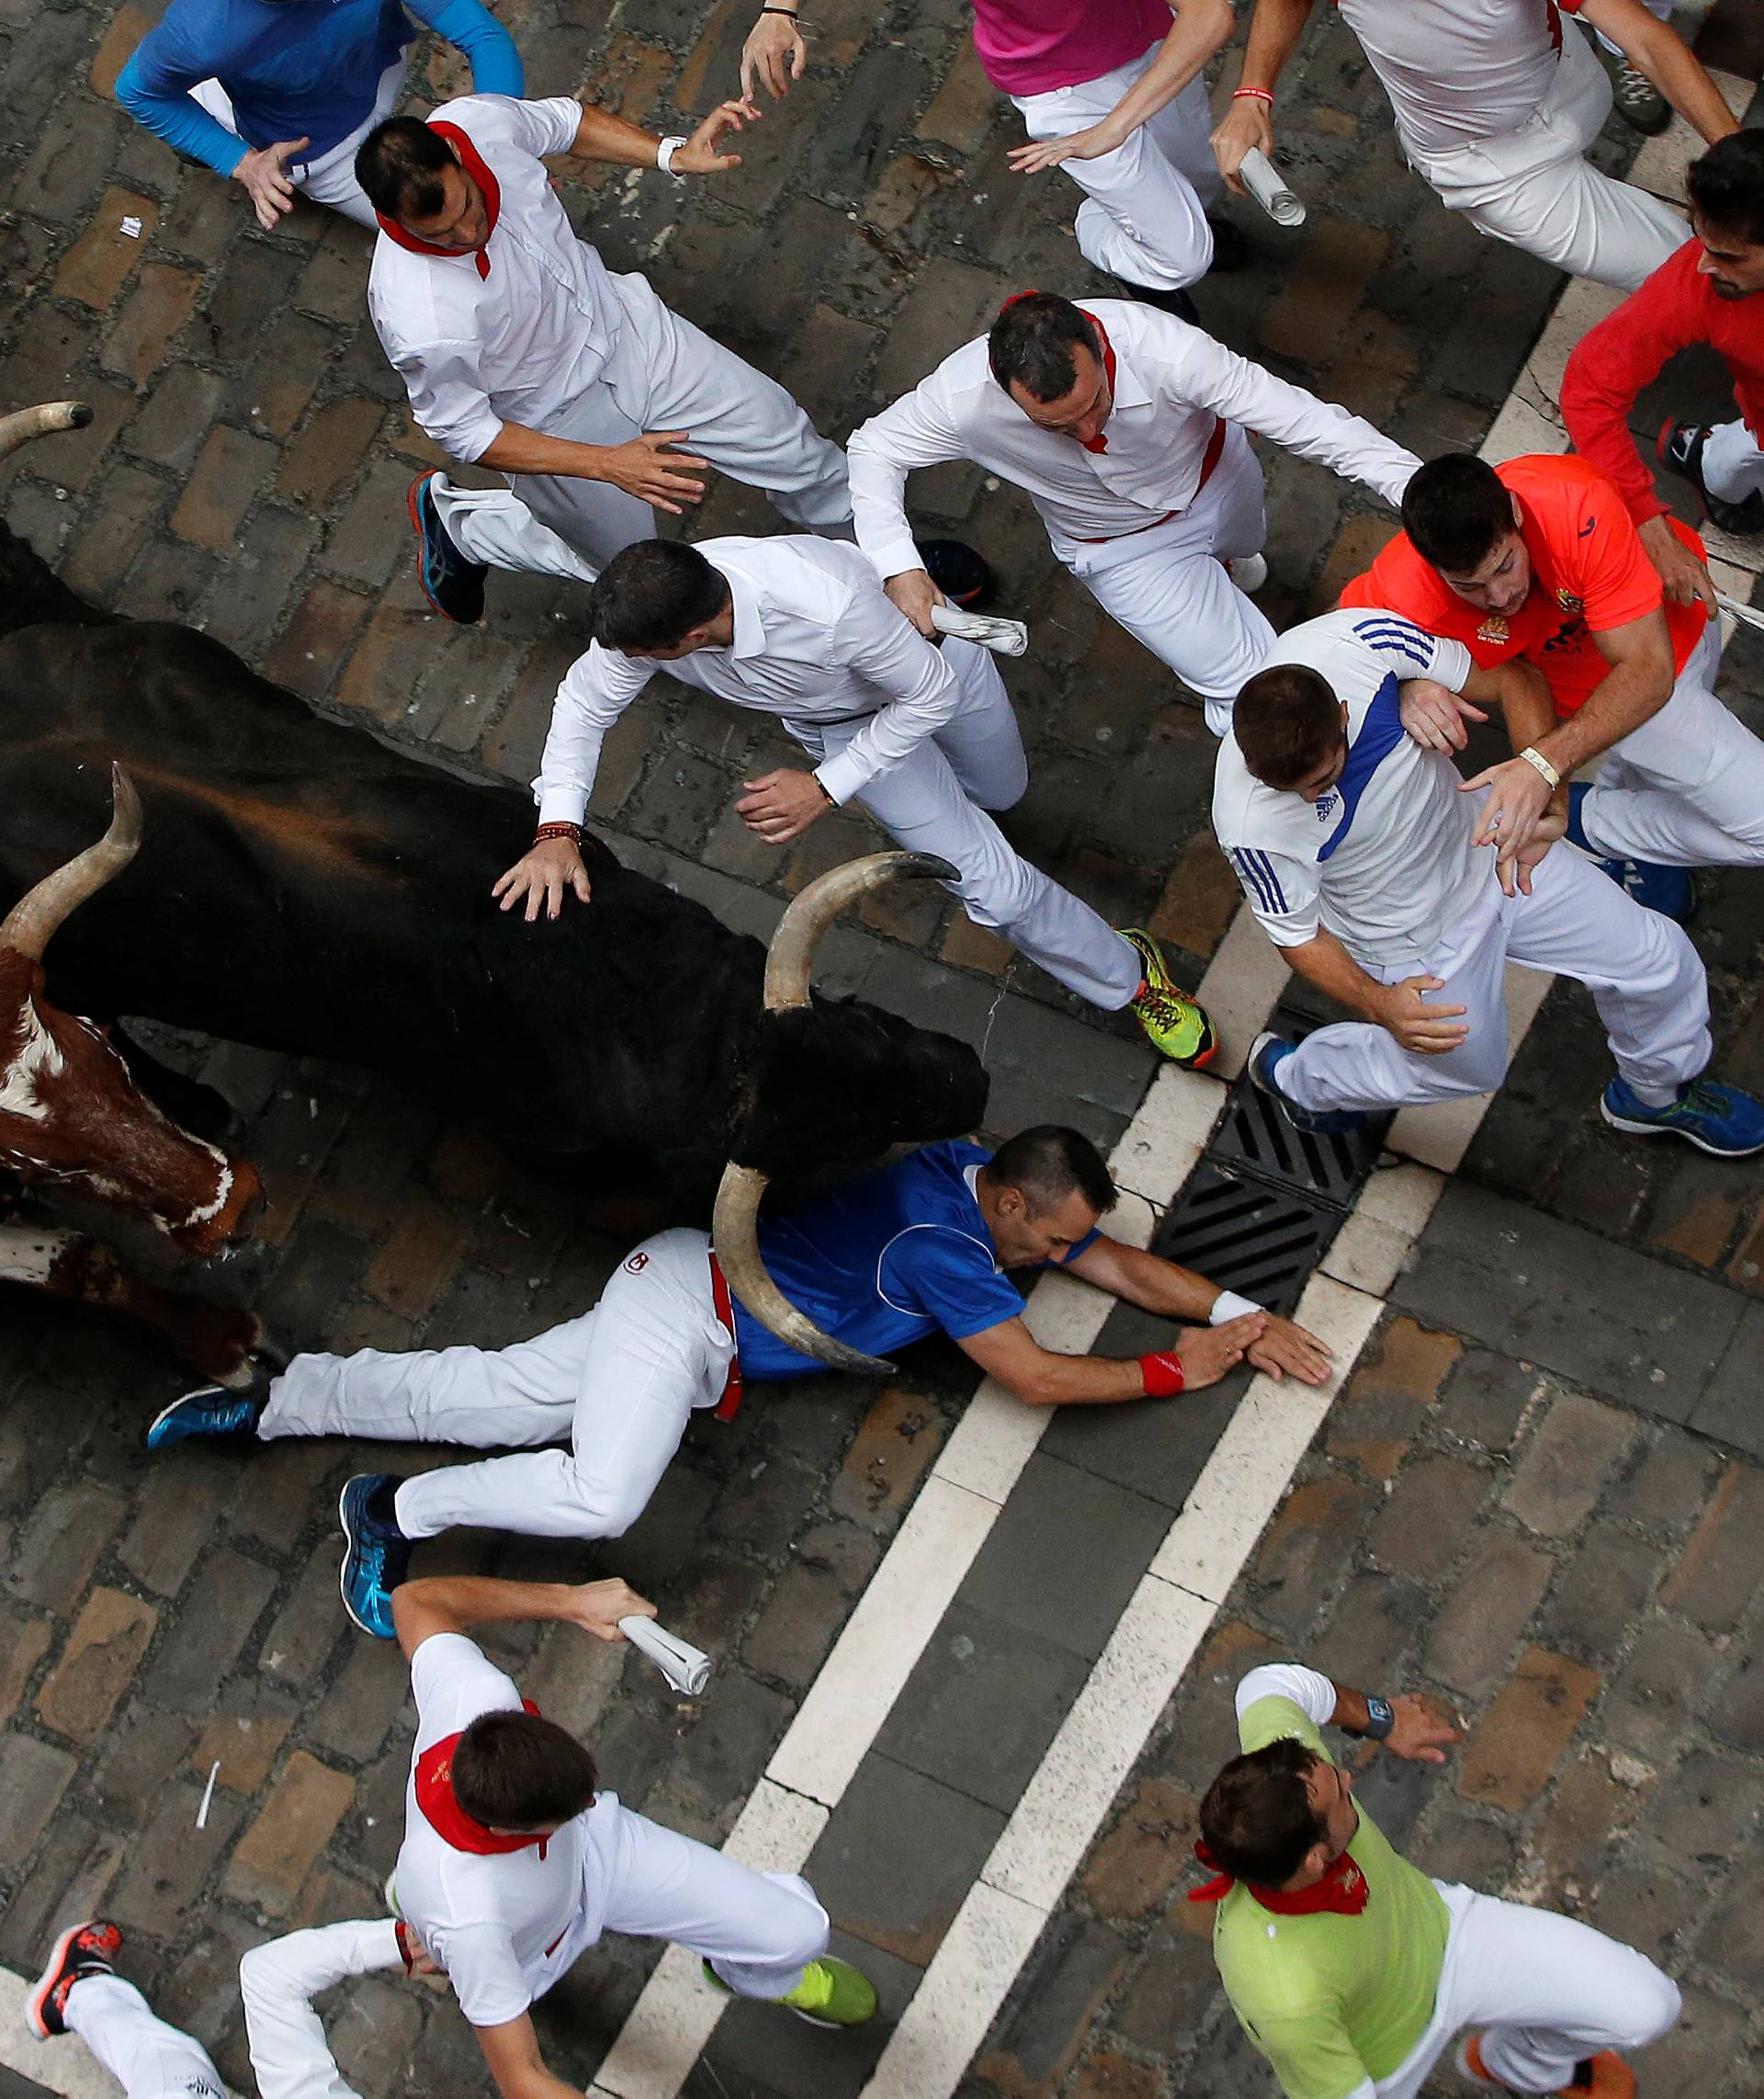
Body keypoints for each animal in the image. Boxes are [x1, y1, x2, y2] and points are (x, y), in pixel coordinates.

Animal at [0, 518, 989, 1217]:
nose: (975, 1083)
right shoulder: (544, 1139)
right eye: (847, 1140)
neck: (619, 988)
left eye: (874, 1024)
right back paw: (196, 1106)